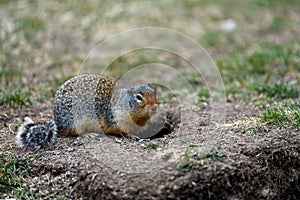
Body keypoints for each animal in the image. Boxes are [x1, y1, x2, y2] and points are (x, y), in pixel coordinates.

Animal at [16, 74, 159, 148]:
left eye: (155, 92)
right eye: (139, 97)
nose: (155, 107)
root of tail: (58, 120)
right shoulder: (117, 118)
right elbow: (123, 130)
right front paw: (132, 135)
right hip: (77, 120)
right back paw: (89, 134)